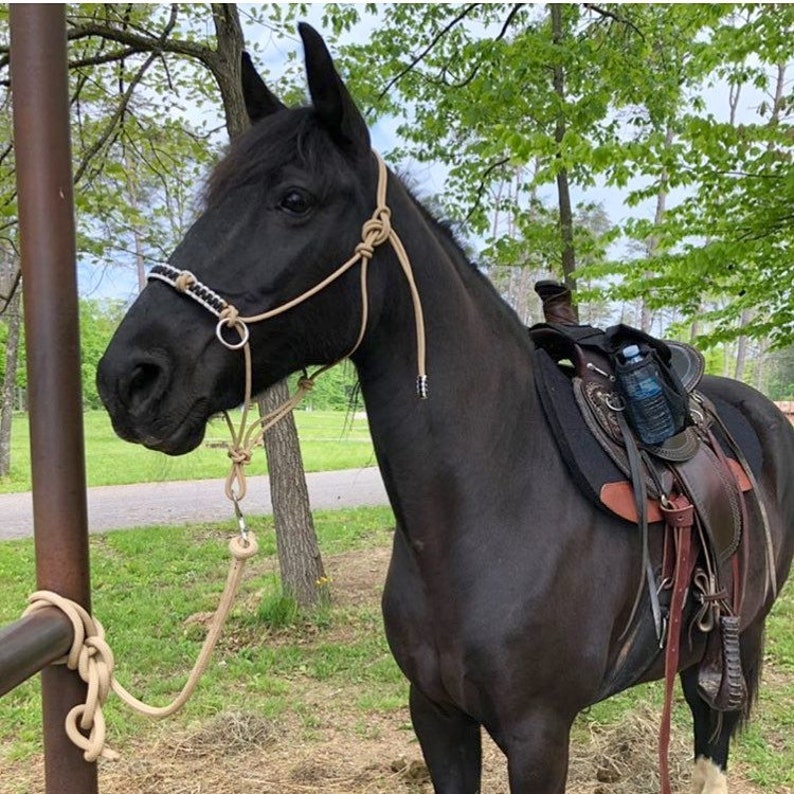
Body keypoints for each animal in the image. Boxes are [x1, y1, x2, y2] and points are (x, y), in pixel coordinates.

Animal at [100, 24, 792, 792]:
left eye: (294, 200)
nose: (128, 378)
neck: (487, 514)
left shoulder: (539, 737)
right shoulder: (435, 714)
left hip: (731, 643)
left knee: (712, 742)